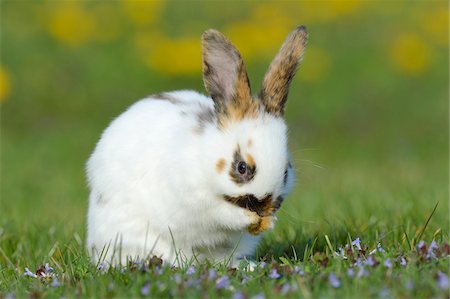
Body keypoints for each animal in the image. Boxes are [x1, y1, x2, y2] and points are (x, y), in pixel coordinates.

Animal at [86, 25, 308, 268]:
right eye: (241, 168)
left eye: (286, 172)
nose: (264, 207)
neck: (205, 158)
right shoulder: (198, 201)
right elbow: (222, 213)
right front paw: (248, 217)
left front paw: (269, 221)